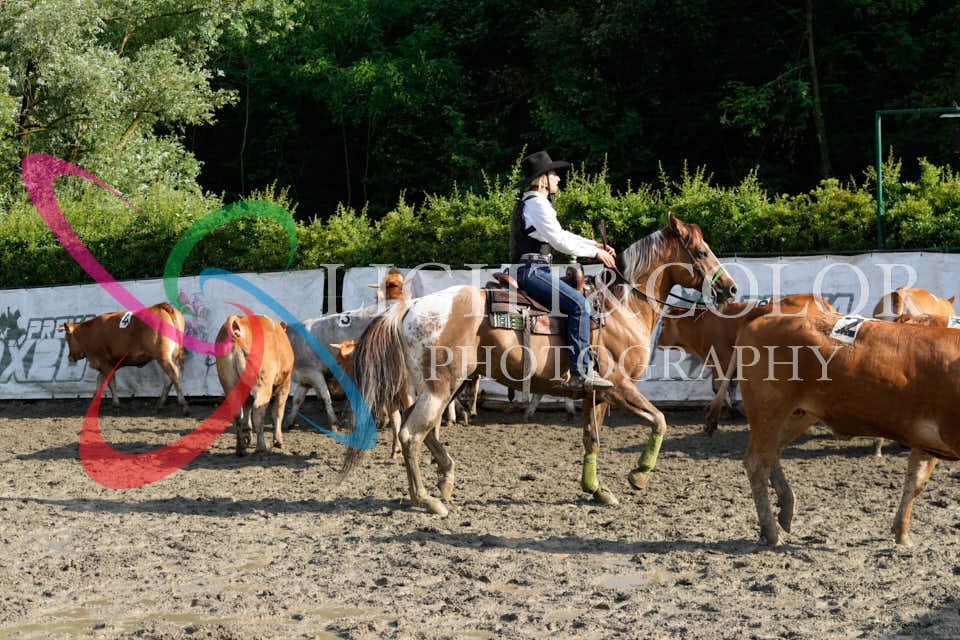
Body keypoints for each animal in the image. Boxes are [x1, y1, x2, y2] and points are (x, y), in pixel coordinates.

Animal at [57, 302, 189, 415]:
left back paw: (183, 405)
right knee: (168, 379)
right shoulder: (107, 365)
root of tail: (162, 306)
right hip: (169, 357)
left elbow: (110, 383)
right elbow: (100, 382)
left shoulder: (104, 362)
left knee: (174, 375)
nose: (70, 358)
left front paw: (116, 405)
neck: (90, 333)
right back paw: (159, 405)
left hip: (163, 357)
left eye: (67, 339)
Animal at [215, 314, 293, 456]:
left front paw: (247, 435)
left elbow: (246, 407)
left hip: (229, 383)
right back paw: (261, 447)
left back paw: (240, 448)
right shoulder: (285, 384)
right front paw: (278, 440)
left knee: (237, 414)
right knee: (258, 412)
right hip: (263, 385)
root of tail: (239, 322)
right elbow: (278, 412)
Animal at [342, 213, 737, 515]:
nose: (731, 289)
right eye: (701, 251)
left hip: (440, 386)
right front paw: (638, 475)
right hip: (440, 387)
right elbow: (659, 420)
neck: (620, 309)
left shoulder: (597, 394)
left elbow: (591, 439)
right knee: (412, 435)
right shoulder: (620, 386)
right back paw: (427, 500)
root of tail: (411, 307)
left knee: (427, 432)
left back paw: (446, 479)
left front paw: (596, 489)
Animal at [658, 294, 837, 430]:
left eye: (663, 324)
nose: (658, 343)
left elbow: (719, 386)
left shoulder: (721, 361)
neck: (701, 325)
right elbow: (730, 385)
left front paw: (731, 411)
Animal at [716, 312, 960, 546]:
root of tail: (758, 320)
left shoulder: (925, 442)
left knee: (773, 452)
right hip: (769, 408)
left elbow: (915, 483)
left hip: (798, 414)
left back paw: (785, 509)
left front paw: (902, 534)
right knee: (757, 463)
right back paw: (772, 533)